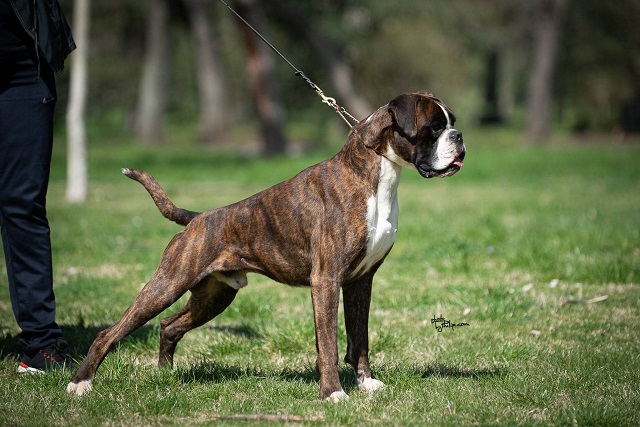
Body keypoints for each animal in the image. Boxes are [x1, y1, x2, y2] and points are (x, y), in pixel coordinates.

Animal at [66, 93, 464, 402]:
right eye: (434, 127)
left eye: (452, 123)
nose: (459, 136)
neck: (374, 172)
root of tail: (197, 218)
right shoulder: (326, 281)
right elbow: (330, 344)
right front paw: (333, 393)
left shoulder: (360, 281)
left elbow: (359, 338)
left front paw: (366, 384)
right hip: (167, 284)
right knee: (110, 333)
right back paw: (80, 384)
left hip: (214, 295)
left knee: (169, 326)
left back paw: (164, 375)